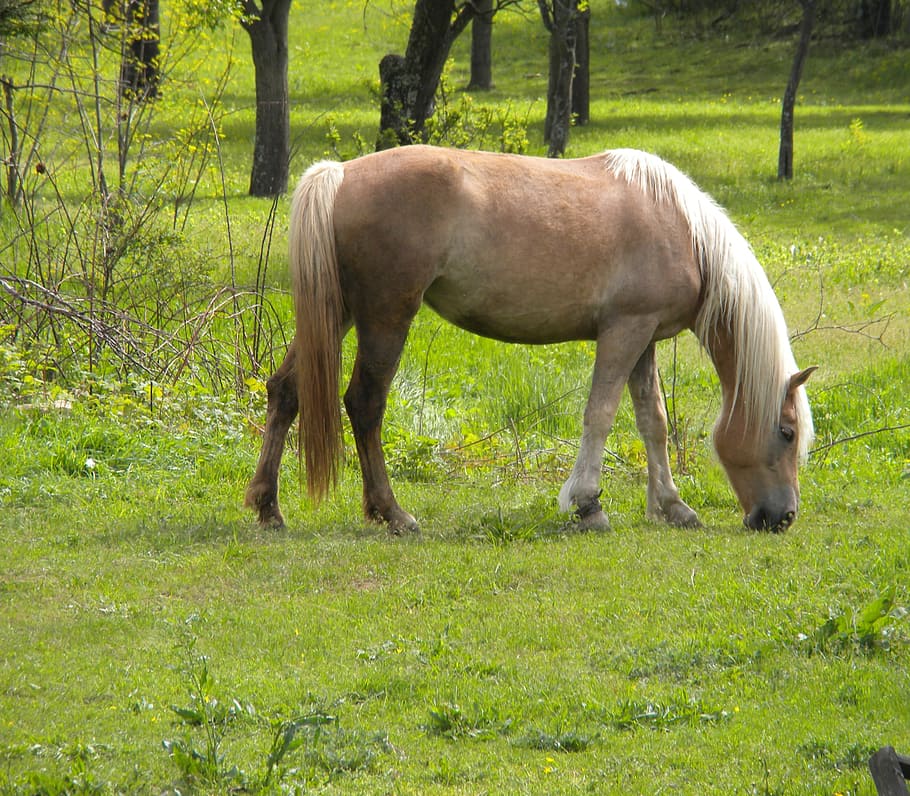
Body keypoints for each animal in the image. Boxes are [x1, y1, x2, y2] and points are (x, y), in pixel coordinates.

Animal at [244, 145, 820, 532]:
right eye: (786, 432)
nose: (783, 516)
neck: (681, 227)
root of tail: (339, 174)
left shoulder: (644, 338)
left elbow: (652, 421)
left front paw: (672, 506)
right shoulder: (623, 331)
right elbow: (600, 415)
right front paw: (587, 505)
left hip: (337, 313)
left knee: (286, 392)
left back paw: (268, 506)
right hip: (386, 318)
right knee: (364, 404)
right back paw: (392, 513)